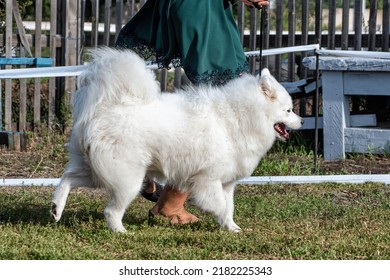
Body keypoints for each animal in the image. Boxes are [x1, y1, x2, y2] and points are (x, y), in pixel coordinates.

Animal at [50, 47, 304, 232]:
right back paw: (120, 232)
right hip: (128, 178)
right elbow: (220, 206)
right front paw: (221, 221)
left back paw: (56, 209)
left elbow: (229, 208)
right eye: (288, 110)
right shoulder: (207, 180)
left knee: (68, 178)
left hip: (96, 169)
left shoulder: (226, 183)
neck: (240, 117)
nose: (301, 121)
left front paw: (232, 228)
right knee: (111, 210)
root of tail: (105, 109)